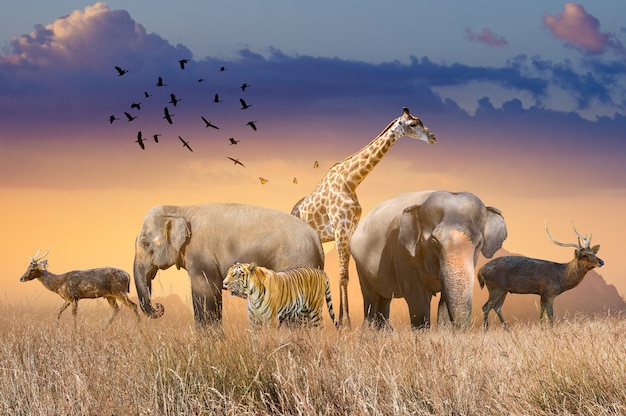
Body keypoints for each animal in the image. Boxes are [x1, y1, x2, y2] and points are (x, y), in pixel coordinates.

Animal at [133, 203, 324, 326]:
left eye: (146, 244)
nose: (158, 306)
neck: (180, 208)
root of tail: (316, 238)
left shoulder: (200, 254)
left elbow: (206, 290)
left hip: (297, 261)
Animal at [290, 106, 436, 324]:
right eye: (412, 124)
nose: (433, 137)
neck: (351, 181)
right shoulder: (340, 228)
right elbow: (342, 275)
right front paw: (345, 323)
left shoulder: (349, 230)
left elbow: (344, 275)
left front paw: (340, 321)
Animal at [348, 190, 504, 330]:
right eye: (434, 242)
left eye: (479, 243)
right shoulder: (403, 253)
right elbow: (418, 299)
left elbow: (444, 301)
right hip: (361, 267)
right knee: (371, 300)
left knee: (384, 299)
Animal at [476, 221, 604, 328]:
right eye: (584, 255)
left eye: (594, 253)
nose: (601, 261)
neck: (562, 279)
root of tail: (480, 271)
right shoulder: (550, 293)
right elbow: (550, 315)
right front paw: (552, 331)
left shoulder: (542, 294)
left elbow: (541, 314)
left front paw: (542, 329)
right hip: (496, 287)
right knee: (486, 306)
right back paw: (486, 329)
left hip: (503, 290)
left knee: (497, 307)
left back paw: (507, 329)